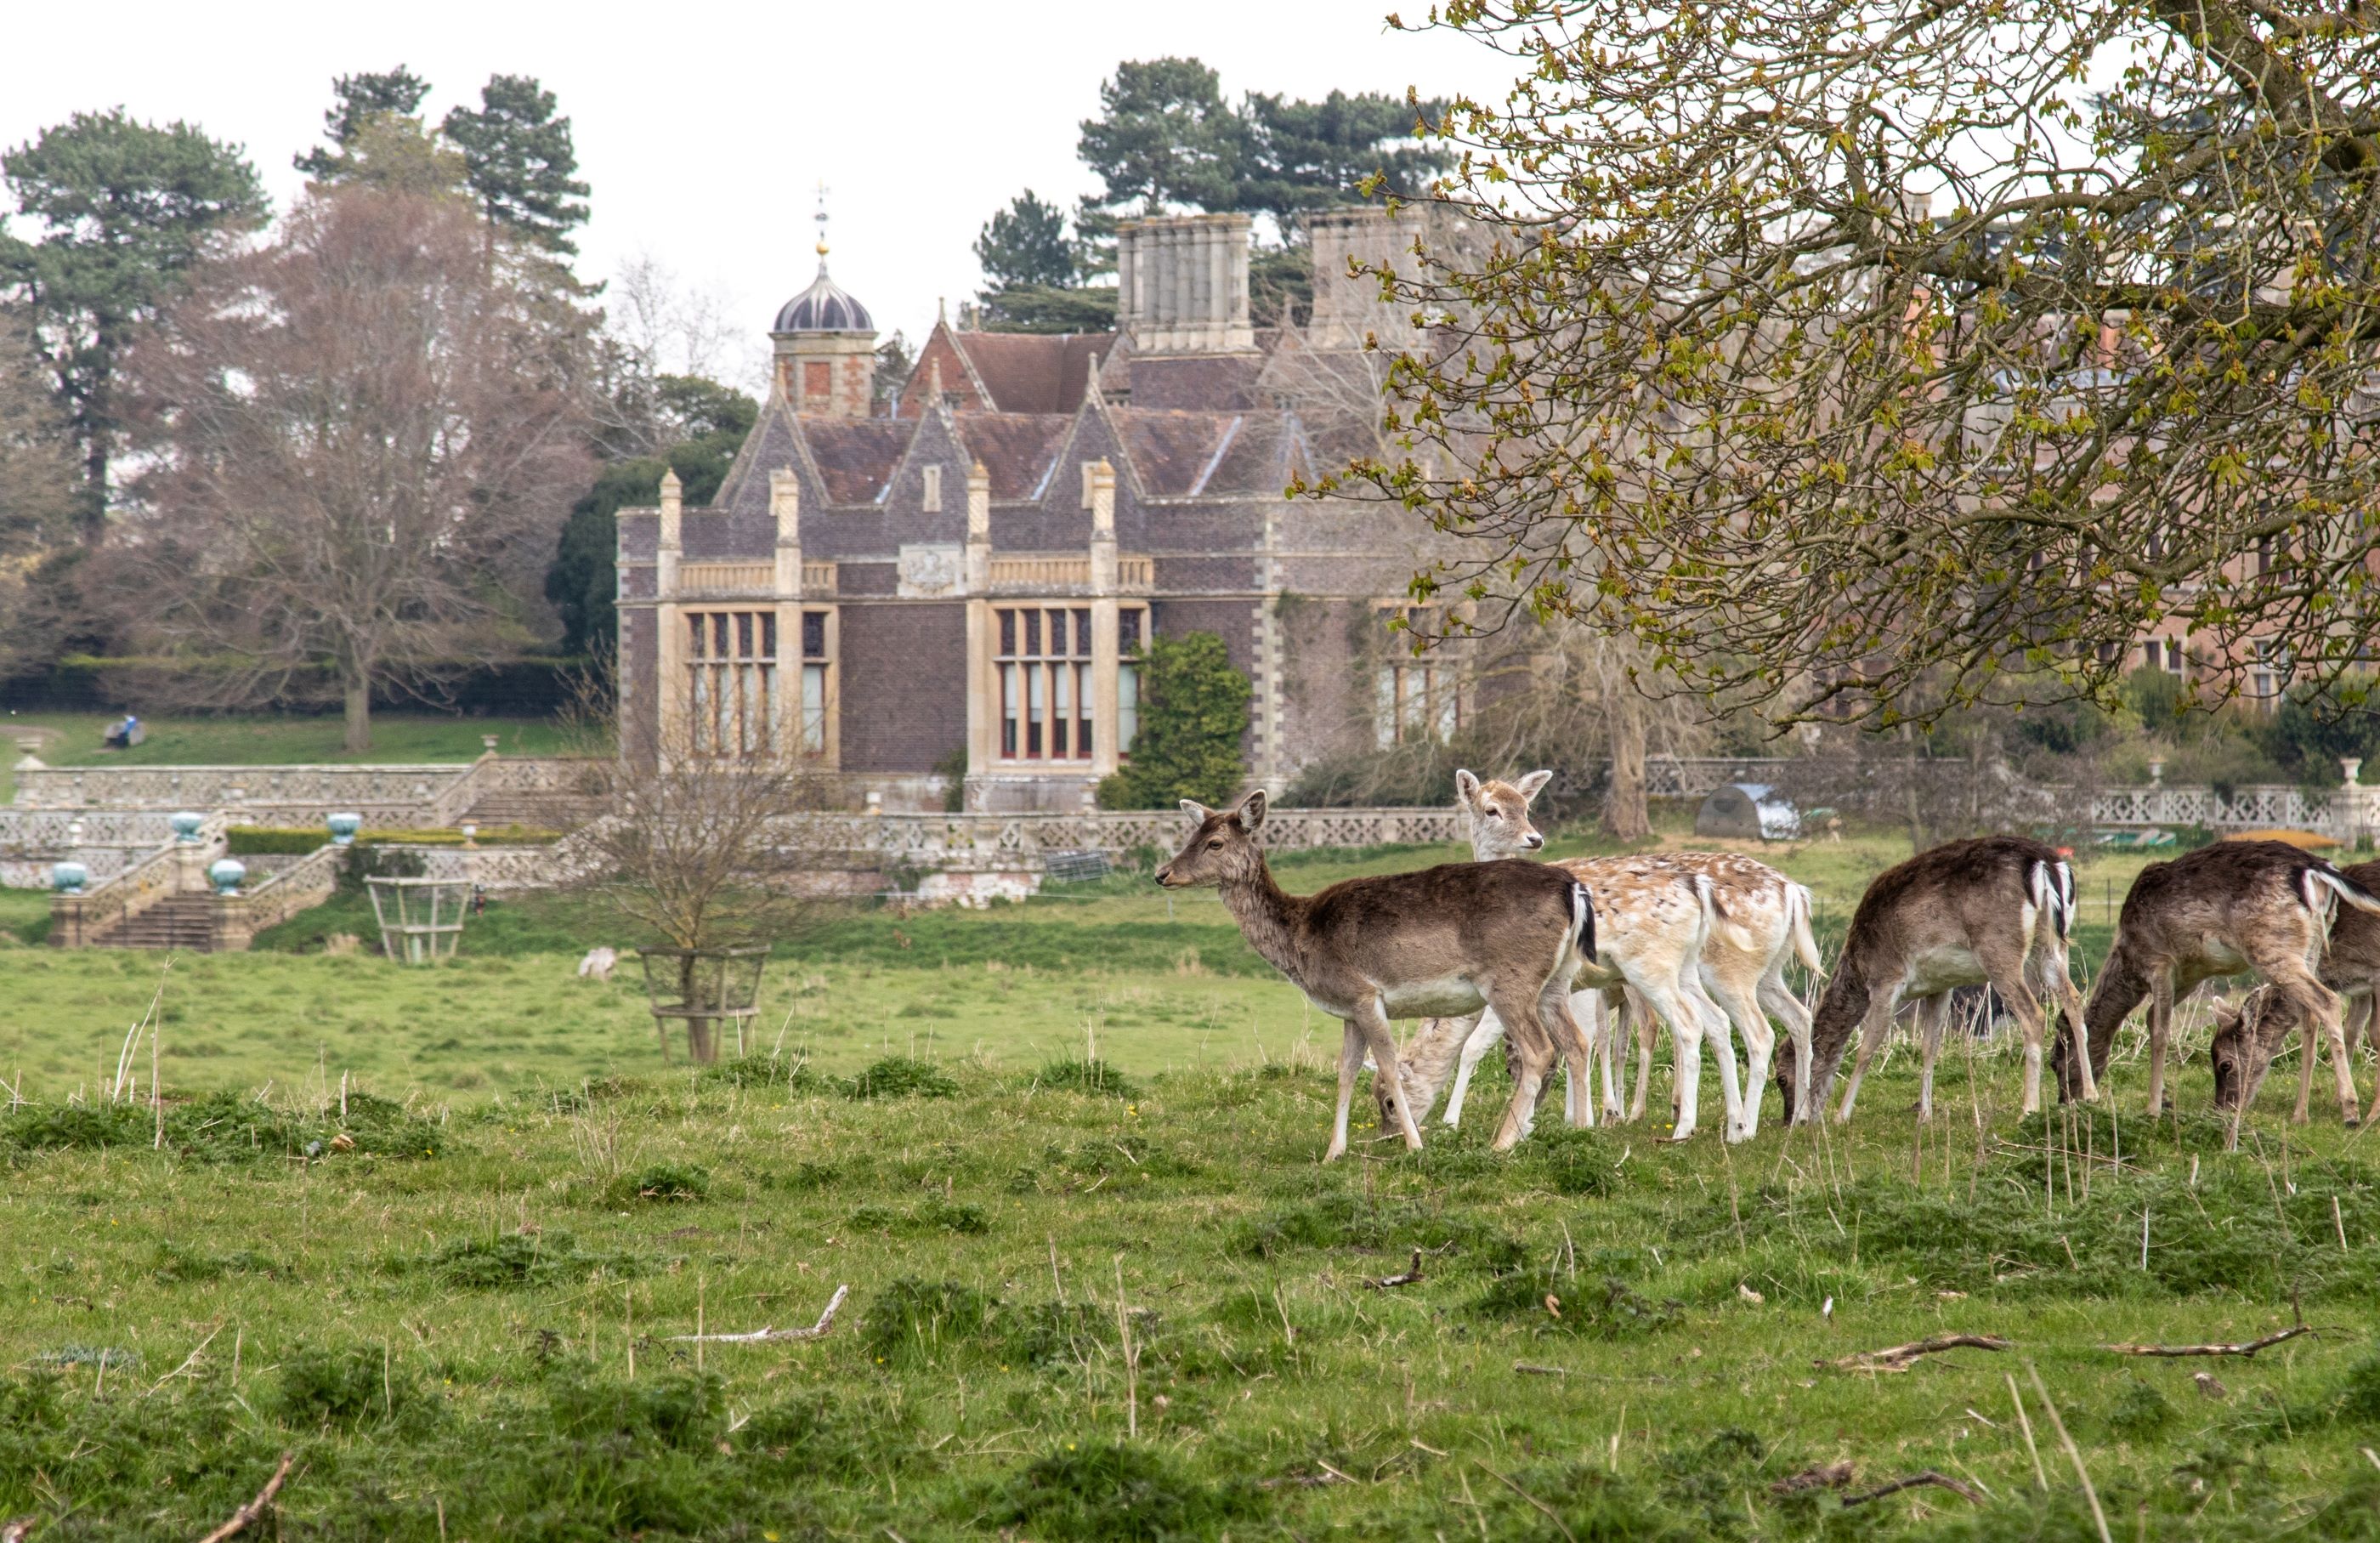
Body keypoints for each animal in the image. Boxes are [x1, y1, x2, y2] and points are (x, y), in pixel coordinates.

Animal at [1153, 791, 1598, 1159]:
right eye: (1190, 837)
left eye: (1215, 843)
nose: (1162, 874)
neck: (1302, 940)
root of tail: (1574, 889)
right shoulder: (1349, 1008)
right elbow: (1345, 1072)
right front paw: (1333, 1152)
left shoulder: (1364, 994)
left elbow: (1387, 1067)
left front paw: (1415, 1145)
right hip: (1557, 980)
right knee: (1576, 1042)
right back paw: (1580, 1131)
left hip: (1510, 979)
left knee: (1540, 1050)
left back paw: (1504, 1142)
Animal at [1412, 770, 1824, 1135]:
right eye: (1491, 809)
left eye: (1526, 807)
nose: (1534, 838)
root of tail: (1795, 892)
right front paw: (1581, 1115)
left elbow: (1485, 1045)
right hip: (1765, 970)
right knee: (1793, 1018)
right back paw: (1795, 1117)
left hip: (1727, 969)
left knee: (1752, 1032)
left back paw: (1738, 1125)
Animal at [1779, 835, 2091, 1123]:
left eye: (1781, 1078)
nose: (1793, 1121)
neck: (1860, 966)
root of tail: (2047, 865)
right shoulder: (1940, 986)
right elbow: (1930, 1047)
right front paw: (1925, 1115)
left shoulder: (1886, 979)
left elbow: (1867, 1049)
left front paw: (1841, 1116)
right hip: (2052, 946)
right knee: (2073, 1000)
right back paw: (2089, 1095)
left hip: (1999, 951)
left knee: (2033, 1015)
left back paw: (2029, 1108)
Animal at [2059, 840, 2380, 1124]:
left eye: (2058, 1059)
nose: (2066, 1100)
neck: (2129, 960)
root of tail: (2316, 870)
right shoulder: (2189, 974)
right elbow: (2153, 1017)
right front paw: (2164, 1099)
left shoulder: (2159, 961)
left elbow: (2160, 1030)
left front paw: (2153, 1109)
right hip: (2310, 949)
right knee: (2309, 1017)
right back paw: (2300, 1114)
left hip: (2272, 945)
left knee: (2328, 1002)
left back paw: (2351, 1111)